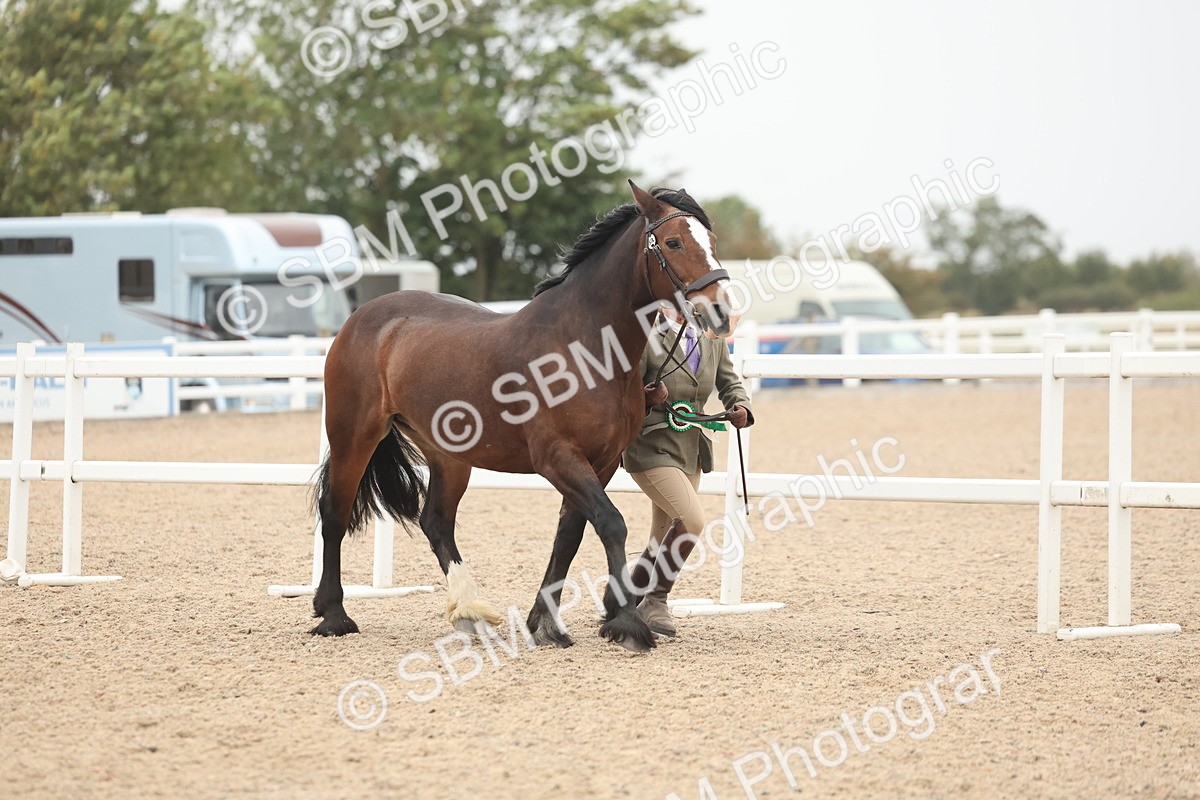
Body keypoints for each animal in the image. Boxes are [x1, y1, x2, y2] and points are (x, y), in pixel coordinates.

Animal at [310, 181, 732, 651]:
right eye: (674, 242)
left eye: (712, 241)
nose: (719, 312)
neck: (583, 344)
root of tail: (362, 319)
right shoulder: (558, 458)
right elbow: (612, 524)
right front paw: (625, 623)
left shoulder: (600, 464)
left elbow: (569, 537)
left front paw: (545, 624)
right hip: (354, 435)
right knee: (335, 512)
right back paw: (334, 614)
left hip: (448, 455)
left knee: (436, 522)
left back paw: (470, 613)